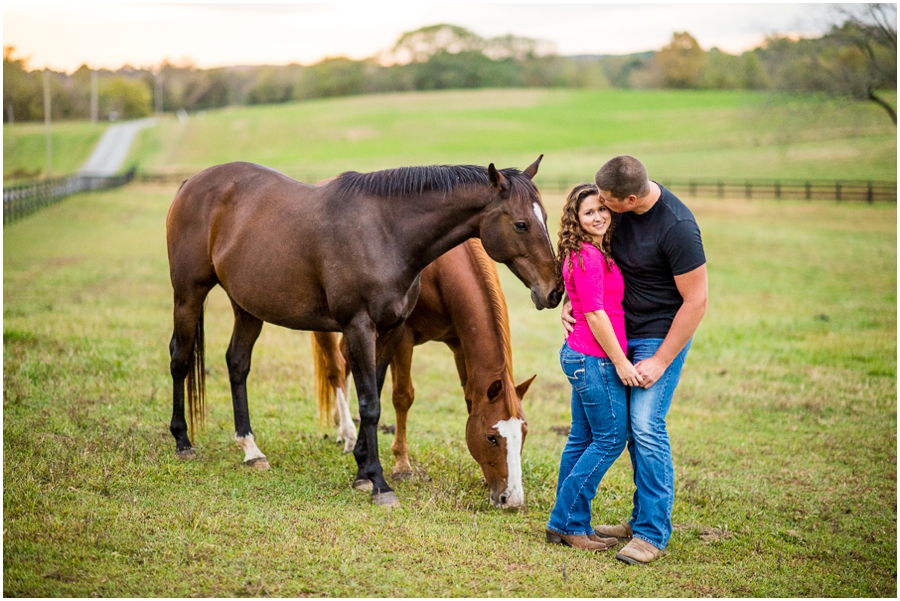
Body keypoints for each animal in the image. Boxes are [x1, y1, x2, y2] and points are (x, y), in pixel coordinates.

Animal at [314, 239, 536, 506]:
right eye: (491, 437)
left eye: (524, 433)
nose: (512, 499)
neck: (439, 267)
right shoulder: (403, 337)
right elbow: (402, 397)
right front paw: (402, 465)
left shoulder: (459, 343)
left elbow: (471, 400)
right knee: (335, 367)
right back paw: (347, 431)